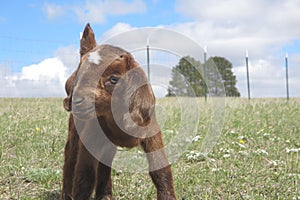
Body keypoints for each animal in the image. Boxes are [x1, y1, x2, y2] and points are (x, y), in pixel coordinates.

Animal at [61, 23, 177, 200]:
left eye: (114, 79)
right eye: (78, 76)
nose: (75, 101)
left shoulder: (151, 131)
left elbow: (161, 170)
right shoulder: (90, 137)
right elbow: (84, 176)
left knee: (104, 164)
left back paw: (105, 196)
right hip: (76, 129)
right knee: (70, 158)